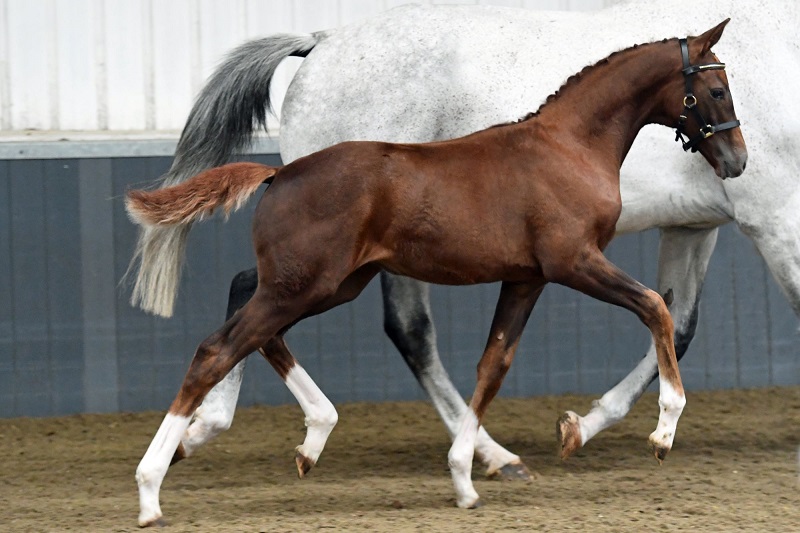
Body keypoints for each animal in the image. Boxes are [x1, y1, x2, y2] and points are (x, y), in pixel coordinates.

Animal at [124, 0, 798, 481]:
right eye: (717, 89)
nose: (737, 161)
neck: (568, 141)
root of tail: (321, 43)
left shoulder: (687, 228)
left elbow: (671, 326)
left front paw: (582, 428)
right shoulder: (766, 220)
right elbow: (675, 312)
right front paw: (636, 431)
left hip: (336, 274)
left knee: (253, 302)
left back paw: (219, 434)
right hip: (329, 272)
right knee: (387, 331)